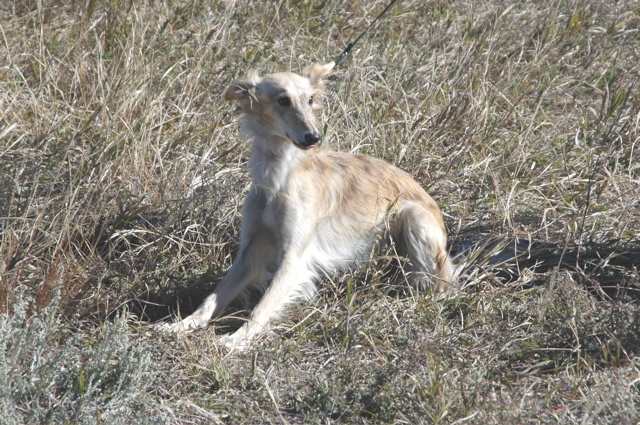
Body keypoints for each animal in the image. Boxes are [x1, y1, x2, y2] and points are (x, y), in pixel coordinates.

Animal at [163, 62, 455, 350]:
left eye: (311, 99)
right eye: (283, 100)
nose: (313, 137)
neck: (279, 178)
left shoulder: (294, 256)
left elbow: (264, 304)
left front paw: (239, 339)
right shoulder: (251, 250)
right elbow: (214, 296)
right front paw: (182, 324)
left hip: (414, 218)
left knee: (440, 284)